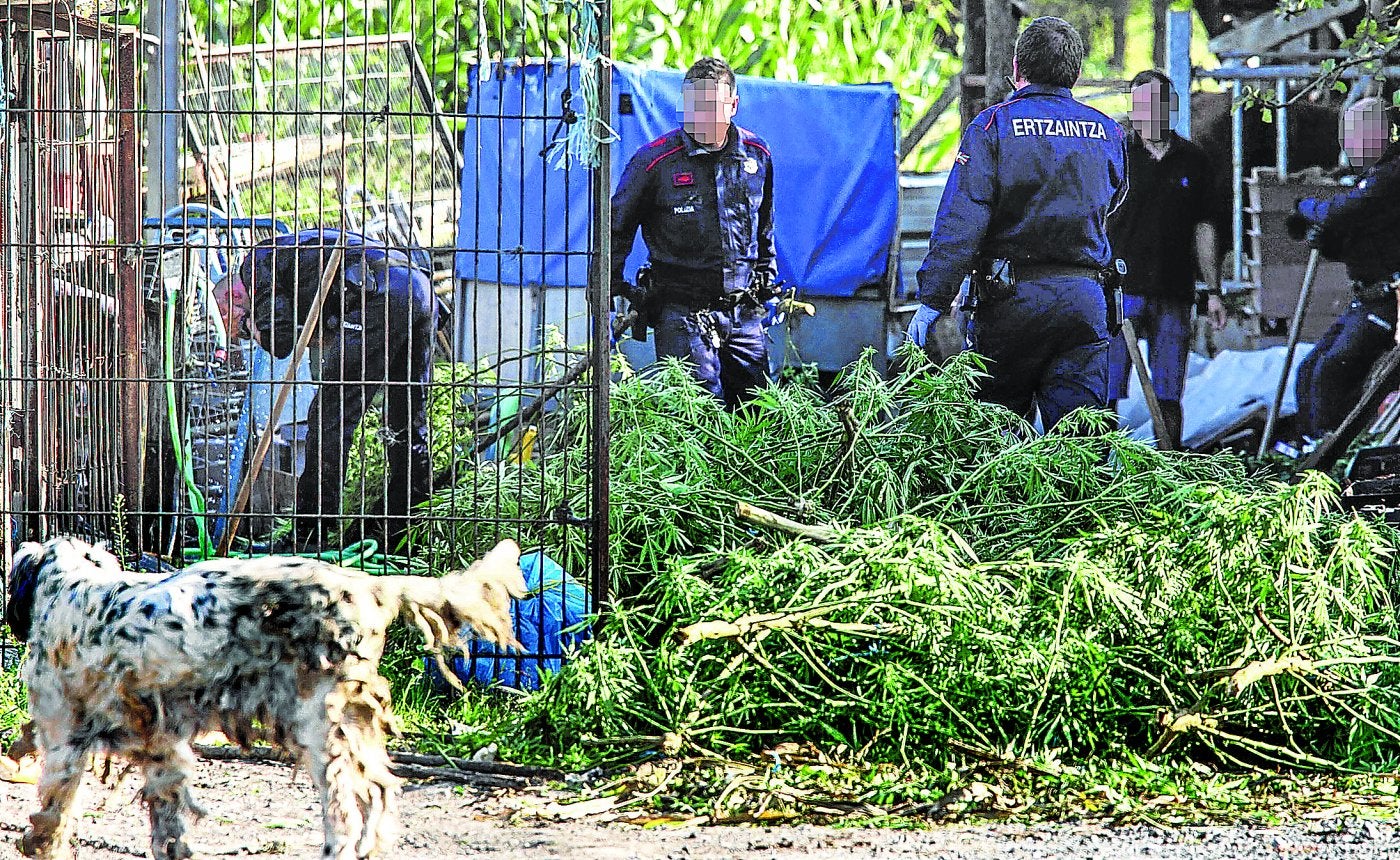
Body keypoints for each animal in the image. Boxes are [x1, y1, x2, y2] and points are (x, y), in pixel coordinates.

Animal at [4, 537, 526, 860]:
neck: (72, 588)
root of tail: (370, 585)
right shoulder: (162, 749)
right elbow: (169, 825)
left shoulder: (63, 740)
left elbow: (53, 815)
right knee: (380, 793)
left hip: (322, 729)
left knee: (346, 808)